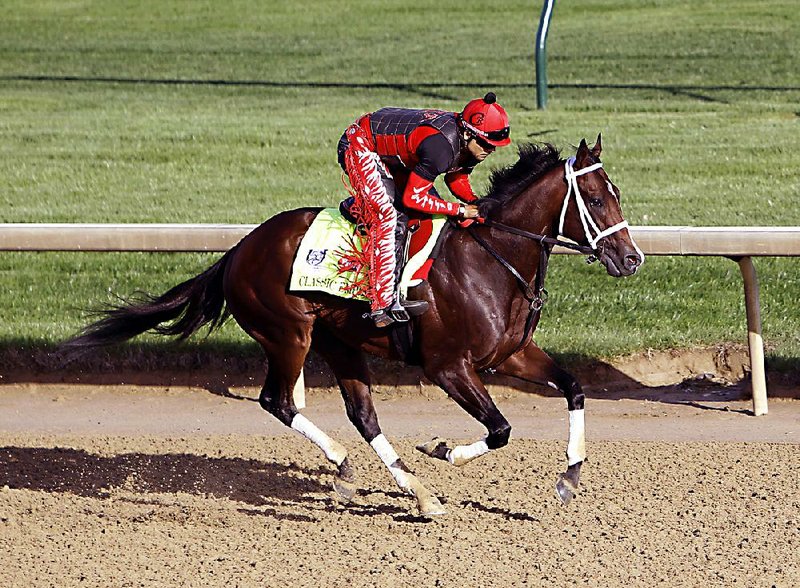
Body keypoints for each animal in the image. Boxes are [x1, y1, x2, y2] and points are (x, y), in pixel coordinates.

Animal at [61, 136, 644, 512]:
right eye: (595, 198)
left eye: (617, 194)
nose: (631, 259)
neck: (490, 258)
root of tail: (238, 250)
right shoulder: (447, 366)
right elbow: (499, 430)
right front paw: (442, 449)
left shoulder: (510, 354)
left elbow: (574, 387)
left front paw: (569, 477)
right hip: (288, 334)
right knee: (278, 401)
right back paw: (348, 464)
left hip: (339, 341)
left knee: (362, 415)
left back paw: (413, 491)